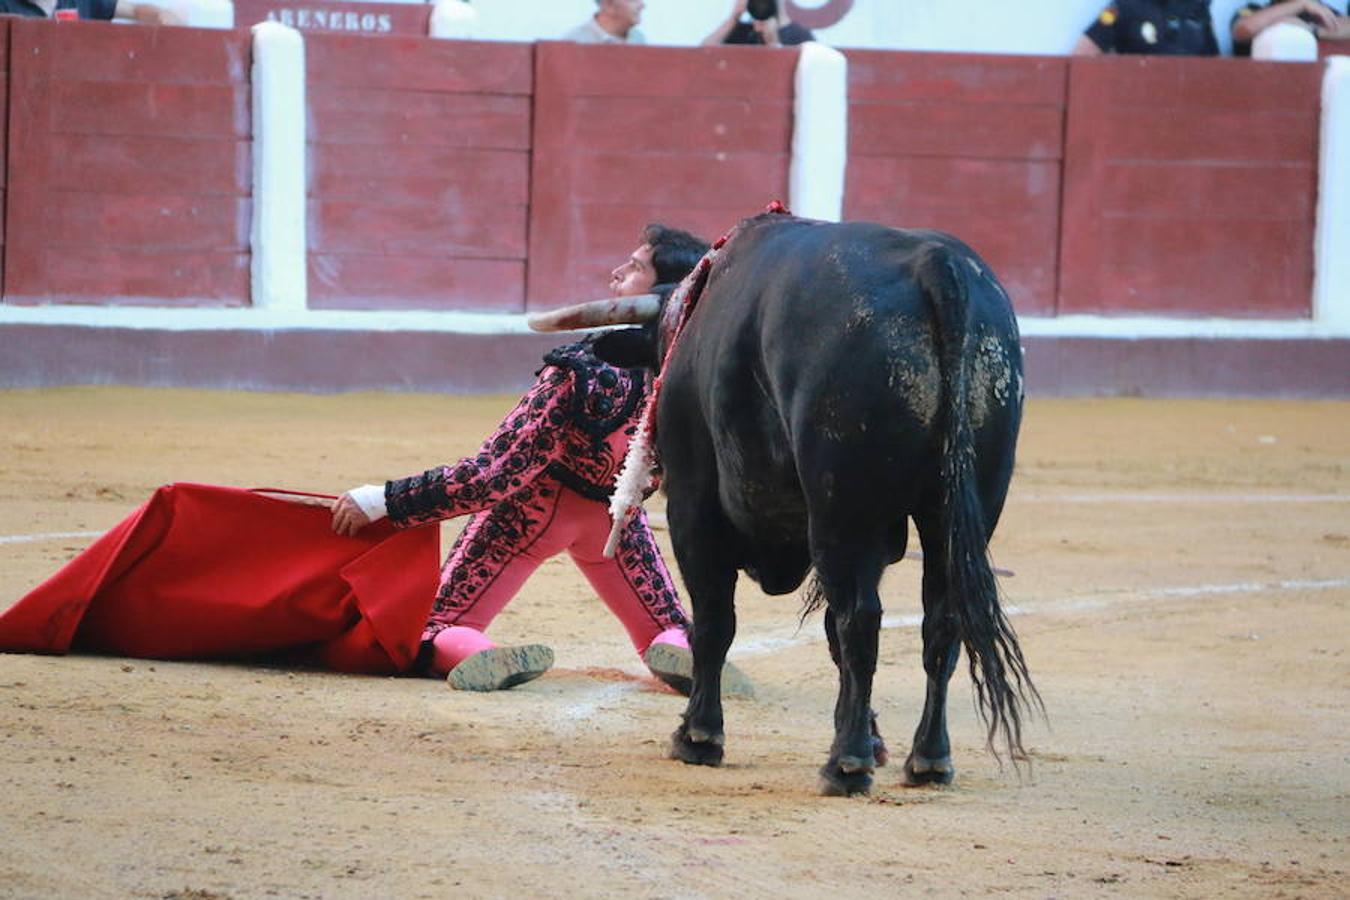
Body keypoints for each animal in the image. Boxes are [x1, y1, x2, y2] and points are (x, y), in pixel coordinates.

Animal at [550, 215, 1042, 793]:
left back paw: (845, 764)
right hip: (965, 503)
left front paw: (698, 735)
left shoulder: (695, 510)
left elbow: (714, 622)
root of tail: (936, 266)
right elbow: (829, 633)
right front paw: (873, 735)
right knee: (939, 622)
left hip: (842, 509)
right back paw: (927, 759)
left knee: (860, 620)